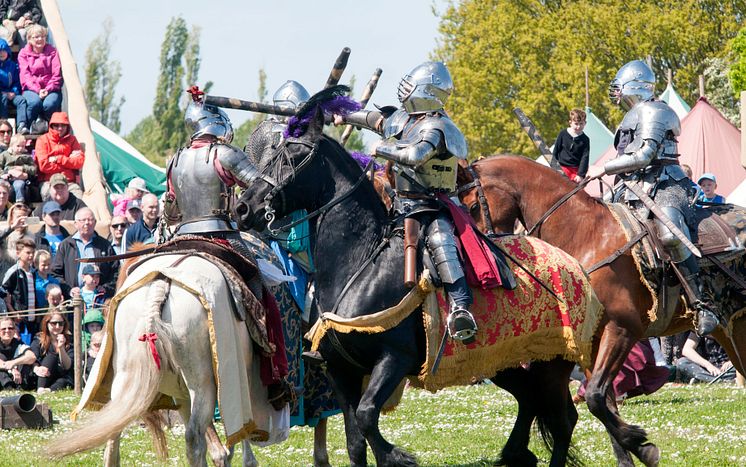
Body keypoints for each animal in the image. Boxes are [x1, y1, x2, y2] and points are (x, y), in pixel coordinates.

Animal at [46, 254, 280, 466]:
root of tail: (161, 284)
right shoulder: (237, 381)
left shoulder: (182, 393)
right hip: (202, 384)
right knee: (195, 438)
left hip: (126, 380)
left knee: (113, 435)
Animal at [238, 104, 580, 466]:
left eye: (291, 156)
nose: (244, 207)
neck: (361, 261)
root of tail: (573, 265)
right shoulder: (341, 371)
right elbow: (355, 439)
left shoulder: (393, 359)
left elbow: (367, 415)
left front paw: (396, 456)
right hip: (504, 361)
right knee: (531, 399)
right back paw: (516, 452)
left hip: (553, 364)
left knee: (562, 420)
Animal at [456, 156, 744, 467]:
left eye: (472, 206)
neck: (583, 235)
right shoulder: (589, 342)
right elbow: (603, 402)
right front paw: (632, 451)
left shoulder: (622, 330)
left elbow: (595, 396)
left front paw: (643, 446)